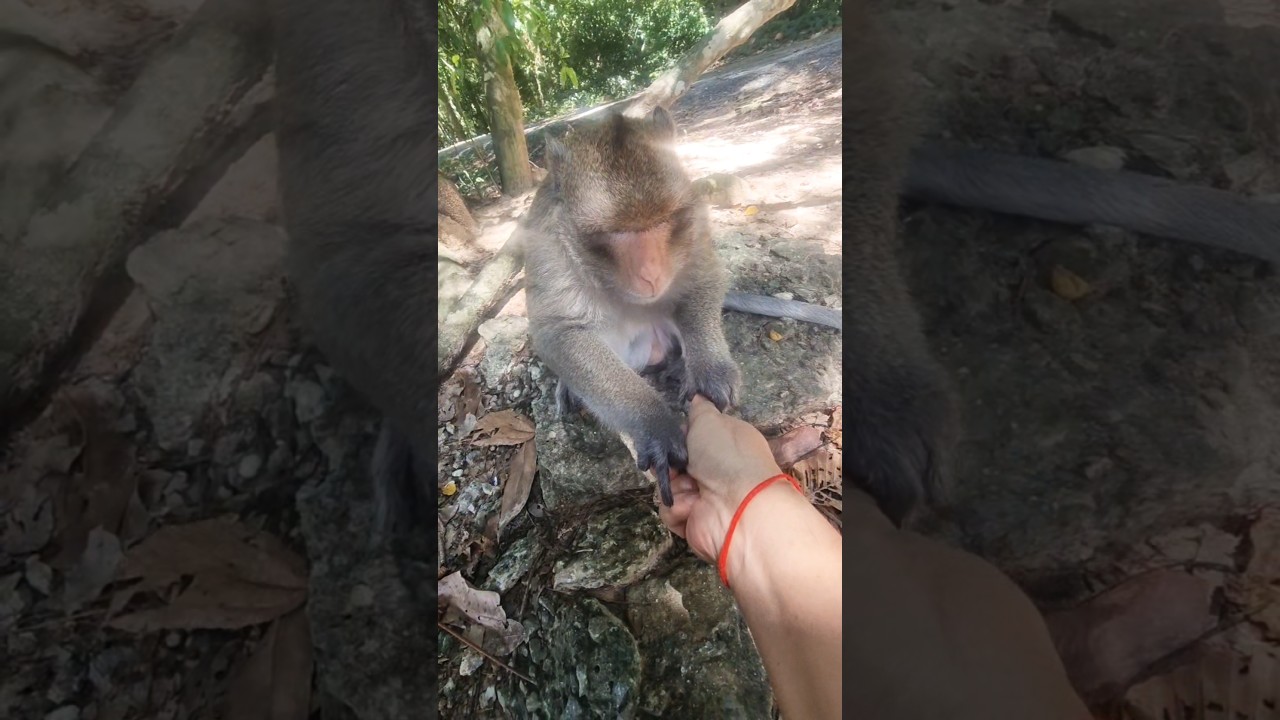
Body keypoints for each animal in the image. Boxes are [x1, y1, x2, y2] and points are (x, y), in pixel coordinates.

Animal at [522, 106, 742, 508]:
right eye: (618, 233)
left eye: (662, 222)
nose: (652, 274)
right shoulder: (546, 248)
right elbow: (557, 332)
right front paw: (652, 421)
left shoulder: (693, 221)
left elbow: (702, 277)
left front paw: (710, 370)